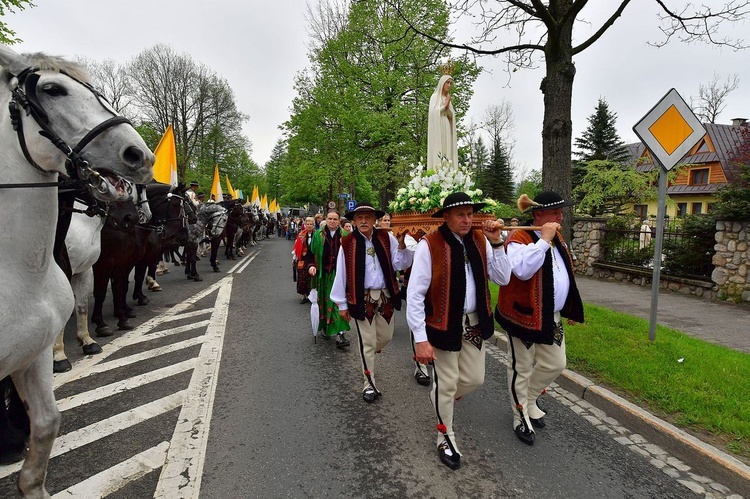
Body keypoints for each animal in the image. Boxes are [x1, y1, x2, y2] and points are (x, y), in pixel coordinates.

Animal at [0, 45, 154, 498]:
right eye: (53, 89)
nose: (139, 155)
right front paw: (65, 354)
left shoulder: (85, 272)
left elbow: (83, 307)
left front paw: (87, 340)